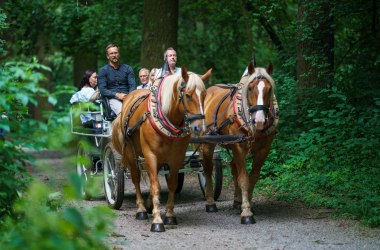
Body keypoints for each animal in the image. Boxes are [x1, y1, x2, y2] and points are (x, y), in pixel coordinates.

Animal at [111, 66, 212, 232]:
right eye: (188, 95)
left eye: (204, 95)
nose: (199, 127)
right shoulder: (150, 155)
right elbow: (155, 187)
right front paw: (157, 220)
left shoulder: (177, 157)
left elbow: (171, 184)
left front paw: (170, 215)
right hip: (131, 153)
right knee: (136, 178)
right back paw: (141, 209)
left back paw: (149, 205)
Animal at [202, 61, 280, 224]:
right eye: (250, 88)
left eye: (269, 89)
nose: (259, 120)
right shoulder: (239, 147)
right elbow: (243, 179)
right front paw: (246, 213)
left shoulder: (264, 150)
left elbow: (252, 178)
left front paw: (247, 205)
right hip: (207, 142)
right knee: (207, 169)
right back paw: (210, 202)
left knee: (233, 167)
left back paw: (237, 202)